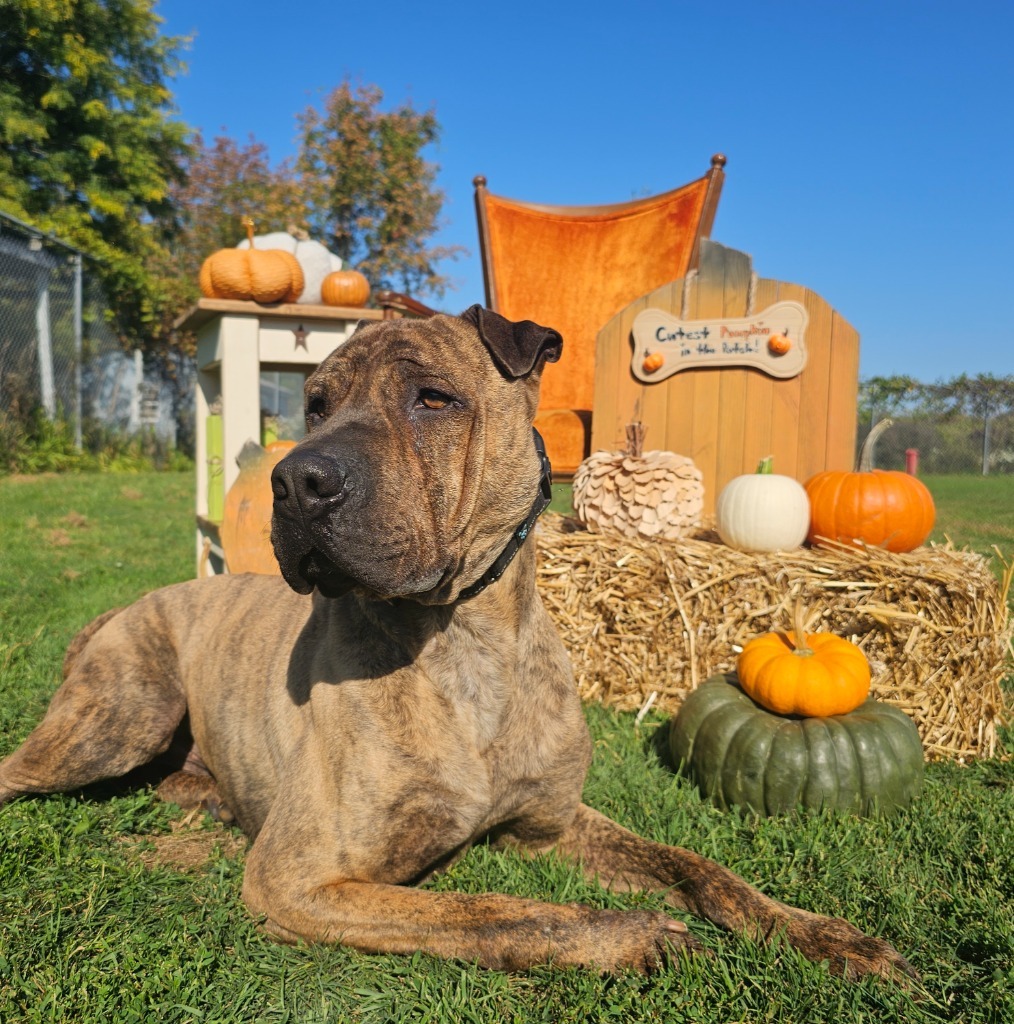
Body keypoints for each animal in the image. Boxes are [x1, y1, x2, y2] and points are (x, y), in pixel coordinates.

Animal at [0, 307, 917, 978]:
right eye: (316, 406)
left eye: (433, 399)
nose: (296, 479)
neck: (461, 642)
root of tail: (131, 604)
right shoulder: (300, 879)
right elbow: (493, 912)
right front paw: (627, 932)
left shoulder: (556, 824)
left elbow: (700, 865)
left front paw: (825, 934)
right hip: (121, 716)